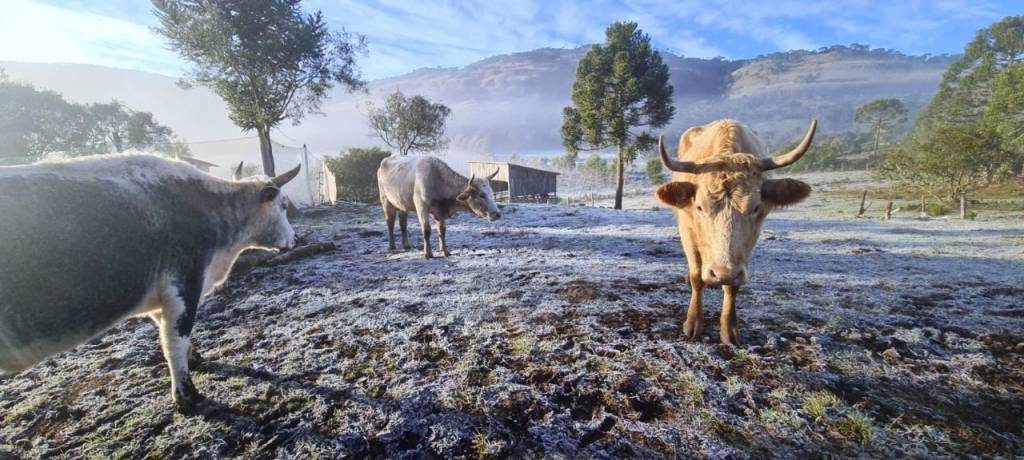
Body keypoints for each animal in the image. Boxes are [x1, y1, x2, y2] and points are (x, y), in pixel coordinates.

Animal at [0, 154, 301, 411]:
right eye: (284, 205)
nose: (295, 239)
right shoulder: (184, 283)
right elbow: (174, 340)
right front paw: (187, 396)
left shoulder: (161, 298)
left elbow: (168, 334)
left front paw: (195, 359)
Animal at [655, 118, 815, 344]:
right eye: (700, 207)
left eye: (756, 207)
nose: (723, 273)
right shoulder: (686, 229)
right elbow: (697, 277)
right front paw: (693, 323)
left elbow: (732, 287)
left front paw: (729, 330)